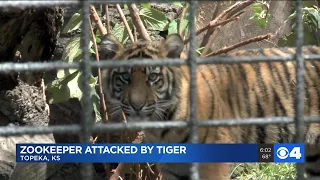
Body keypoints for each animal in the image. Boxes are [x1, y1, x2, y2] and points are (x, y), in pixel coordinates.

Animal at [100, 33, 320, 180]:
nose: (136, 105)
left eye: (153, 77)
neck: (162, 127)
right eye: (125, 77)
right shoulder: (173, 168)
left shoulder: (211, 164)